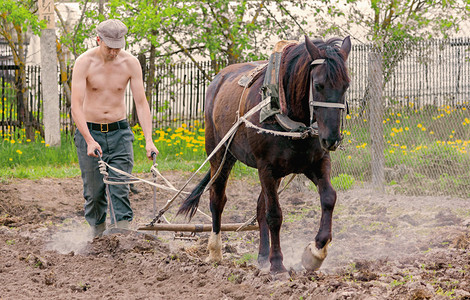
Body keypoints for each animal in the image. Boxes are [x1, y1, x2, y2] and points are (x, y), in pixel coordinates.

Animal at [178, 35, 350, 274]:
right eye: (318, 85)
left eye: (346, 85)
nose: (332, 138)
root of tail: (219, 79)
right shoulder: (266, 167)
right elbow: (274, 214)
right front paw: (277, 264)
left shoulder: (316, 163)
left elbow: (328, 198)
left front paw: (315, 253)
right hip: (221, 156)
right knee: (217, 199)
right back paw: (215, 251)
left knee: (259, 207)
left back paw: (262, 256)